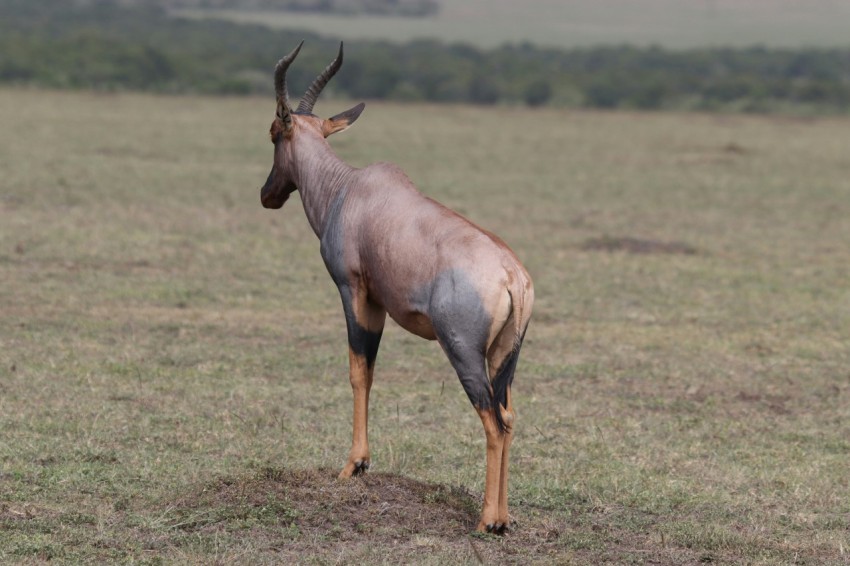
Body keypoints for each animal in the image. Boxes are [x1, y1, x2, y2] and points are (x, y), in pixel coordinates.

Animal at [262, 42, 532, 536]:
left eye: (274, 132)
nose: (267, 194)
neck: (350, 189)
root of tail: (512, 277)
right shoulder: (381, 304)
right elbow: (369, 373)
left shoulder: (355, 292)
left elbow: (358, 371)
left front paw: (354, 465)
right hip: (506, 356)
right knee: (508, 415)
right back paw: (504, 519)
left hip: (463, 351)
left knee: (492, 421)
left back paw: (486, 521)